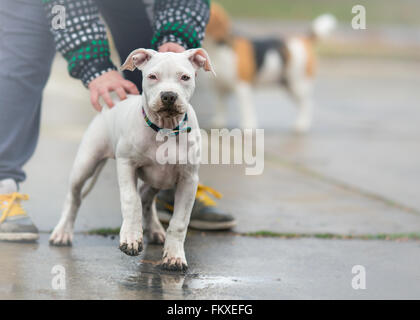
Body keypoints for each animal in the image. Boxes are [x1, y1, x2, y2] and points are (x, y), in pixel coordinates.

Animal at [48, 48, 217, 272]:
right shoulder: (126, 164)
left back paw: (155, 230)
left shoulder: (188, 180)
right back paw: (62, 232)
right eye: (152, 76)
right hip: (85, 163)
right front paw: (130, 238)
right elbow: (131, 200)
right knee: (74, 197)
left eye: (185, 77)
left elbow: (179, 222)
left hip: (159, 178)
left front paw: (174, 256)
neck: (164, 128)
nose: (169, 95)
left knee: (146, 198)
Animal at [202, 4, 336, 131]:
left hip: (298, 84)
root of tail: (304, 39)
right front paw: (219, 122)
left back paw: (302, 124)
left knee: (307, 104)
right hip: (289, 86)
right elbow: (221, 107)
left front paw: (248, 126)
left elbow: (246, 109)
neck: (218, 49)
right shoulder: (219, 88)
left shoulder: (243, 87)